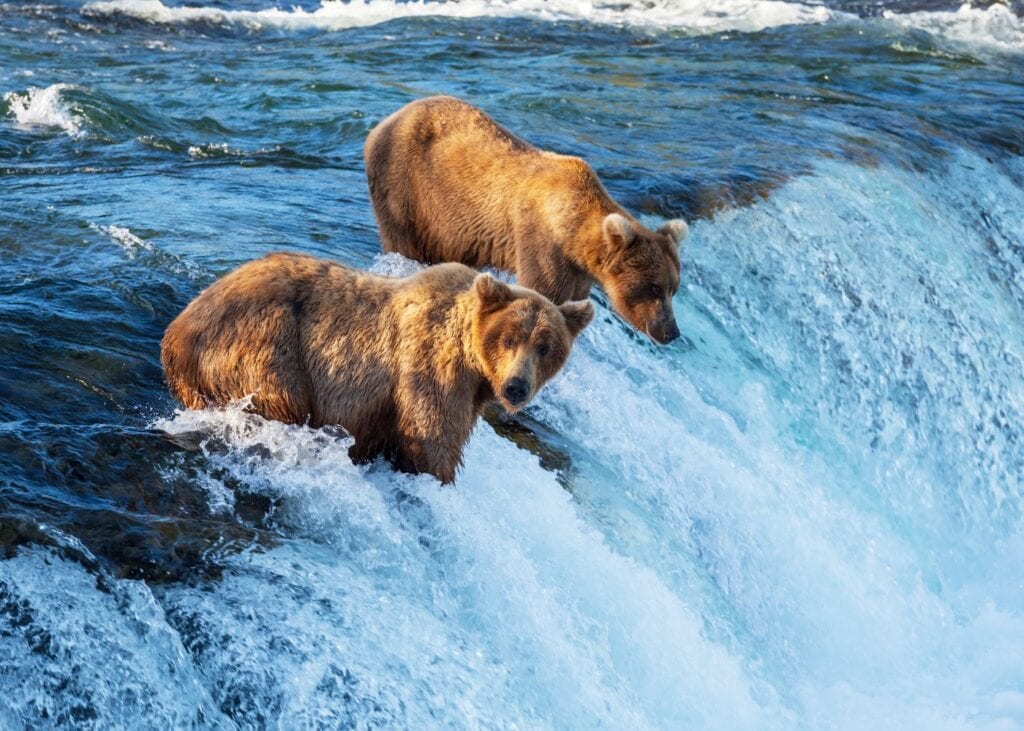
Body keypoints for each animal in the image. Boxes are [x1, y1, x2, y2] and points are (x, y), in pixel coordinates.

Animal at [160, 253, 594, 484]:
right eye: (508, 338)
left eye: (545, 347)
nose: (516, 387)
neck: (474, 363)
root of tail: (175, 333)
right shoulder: (430, 367)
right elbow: (431, 439)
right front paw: (438, 476)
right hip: (265, 345)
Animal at [364, 95, 688, 344]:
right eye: (654, 287)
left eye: (673, 288)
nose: (671, 332)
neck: (572, 231)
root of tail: (384, 121)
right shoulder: (542, 241)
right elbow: (543, 291)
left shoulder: (578, 271)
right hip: (406, 187)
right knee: (403, 240)